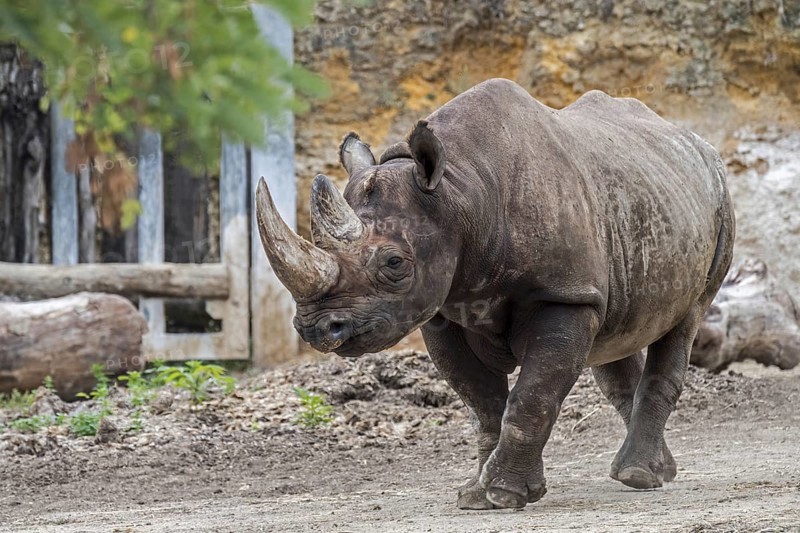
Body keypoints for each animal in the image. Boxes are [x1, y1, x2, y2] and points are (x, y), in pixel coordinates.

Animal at [255, 78, 735, 509]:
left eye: (394, 264)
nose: (317, 329)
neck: (460, 193)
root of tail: (697, 143)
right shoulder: (443, 311)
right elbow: (484, 403)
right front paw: (477, 496)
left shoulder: (563, 295)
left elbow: (531, 398)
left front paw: (504, 494)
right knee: (616, 335)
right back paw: (654, 471)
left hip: (719, 201)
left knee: (686, 319)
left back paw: (638, 476)